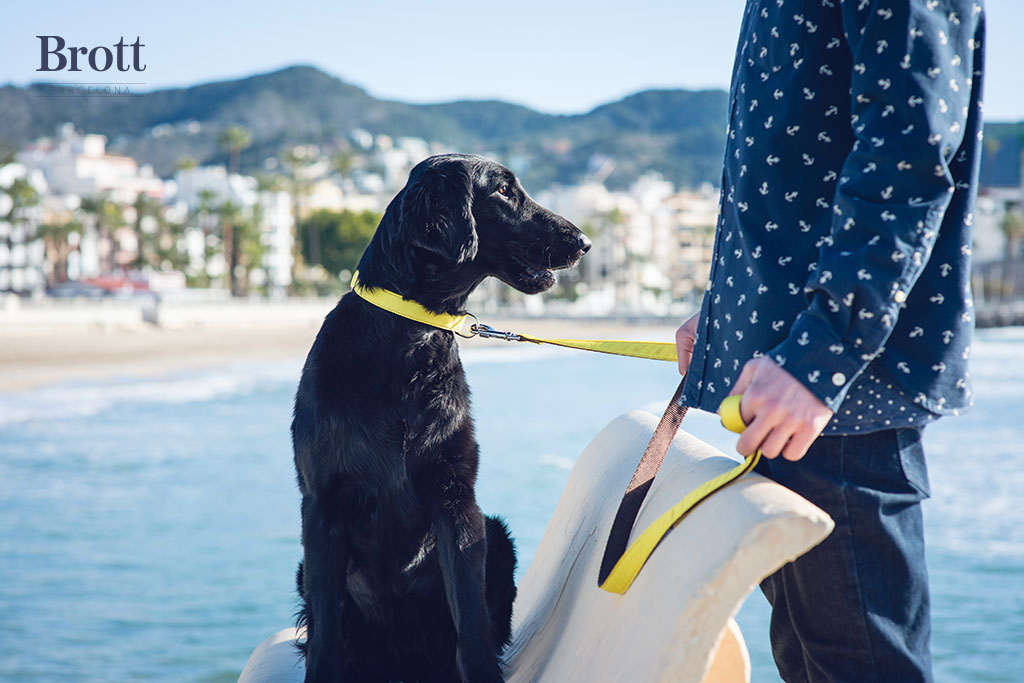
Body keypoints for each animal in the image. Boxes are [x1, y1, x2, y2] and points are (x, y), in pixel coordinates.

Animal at [292, 154, 590, 682]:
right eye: (504, 191)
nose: (585, 242)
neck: (407, 343)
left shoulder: (456, 499)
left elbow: (469, 621)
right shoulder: (321, 505)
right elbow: (325, 631)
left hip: (497, 533)